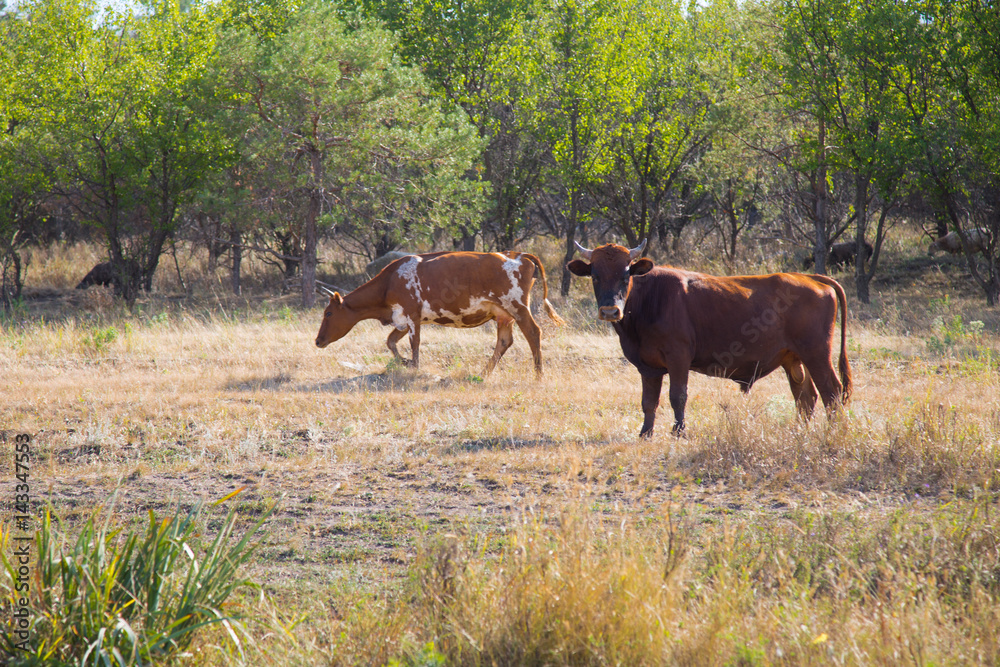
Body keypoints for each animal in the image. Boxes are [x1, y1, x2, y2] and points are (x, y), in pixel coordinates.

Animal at [314, 250, 564, 376]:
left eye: (328, 314)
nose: (317, 340)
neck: (390, 281)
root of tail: (517, 255)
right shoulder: (402, 320)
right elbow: (390, 341)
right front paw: (404, 362)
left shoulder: (413, 317)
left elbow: (414, 345)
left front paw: (413, 366)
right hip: (503, 315)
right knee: (504, 341)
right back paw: (483, 373)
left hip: (517, 307)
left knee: (533, 333)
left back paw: (538, 374)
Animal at [572, 240, 852, 438]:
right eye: (595, 276)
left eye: (625, 275)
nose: (610, 311)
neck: (651, 298)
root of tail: (809, 277)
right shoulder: (648, 367)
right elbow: (649, 401)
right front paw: (645, 433)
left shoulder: (678, 358)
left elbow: (677, 395)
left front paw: (679, 431)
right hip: (793, 360)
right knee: (806, 397)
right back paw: (799, 431)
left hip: (817, 355)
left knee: (831, 392)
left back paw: (834, 431)